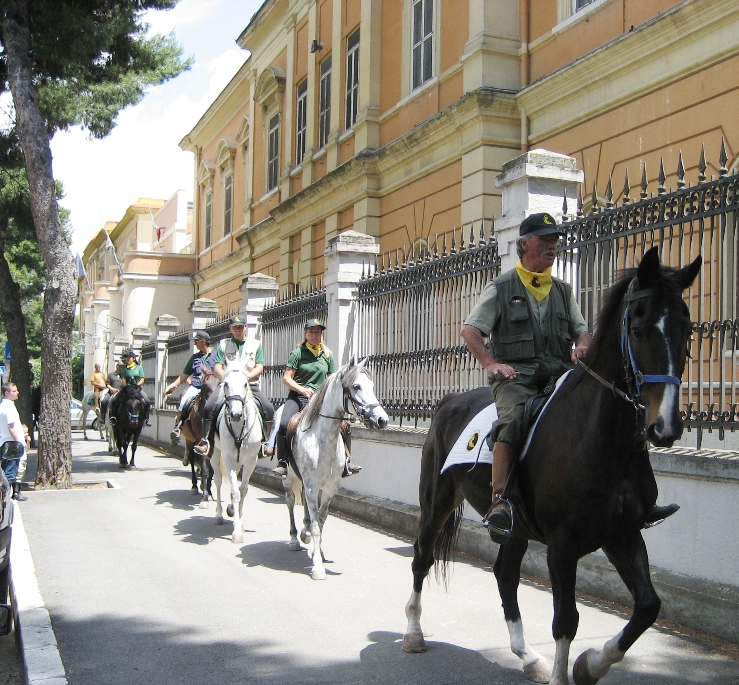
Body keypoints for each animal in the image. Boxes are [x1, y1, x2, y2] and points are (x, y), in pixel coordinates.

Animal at [211, 360, 264, 544]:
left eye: (245, 384)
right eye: (226, 384)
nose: (235, 414)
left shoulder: (251, 461)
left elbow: (242, 491)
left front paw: (239, 523)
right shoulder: (228, 459)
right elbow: (234, 493)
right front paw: (236, 532)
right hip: (215, 454)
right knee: (218, 480)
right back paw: (219, 515)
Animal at [284, 356, 390, 580]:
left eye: (372, 386)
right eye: (356, 386)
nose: (382, 420)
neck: (323, 439)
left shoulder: (330, 487)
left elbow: (321, 520)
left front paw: (319, 552)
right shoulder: (311, 484)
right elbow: (316, 525)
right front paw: (317, 567)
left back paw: (305, 534)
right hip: (289, 478)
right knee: (289, 503)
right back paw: (294, 539)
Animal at [402, 248, 704, 684]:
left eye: (687, 328)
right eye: (639, 327)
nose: (664, 427)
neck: (605, 442)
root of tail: (449, 401)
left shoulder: (624, 535)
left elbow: (648, 606)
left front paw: (590, 665)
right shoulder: (562, 546)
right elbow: (566, 620)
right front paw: (573, 669)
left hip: (514, 528)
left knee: (505, 574)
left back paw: (528, 656)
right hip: (437, 502)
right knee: (422, 557)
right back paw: (413, 632)